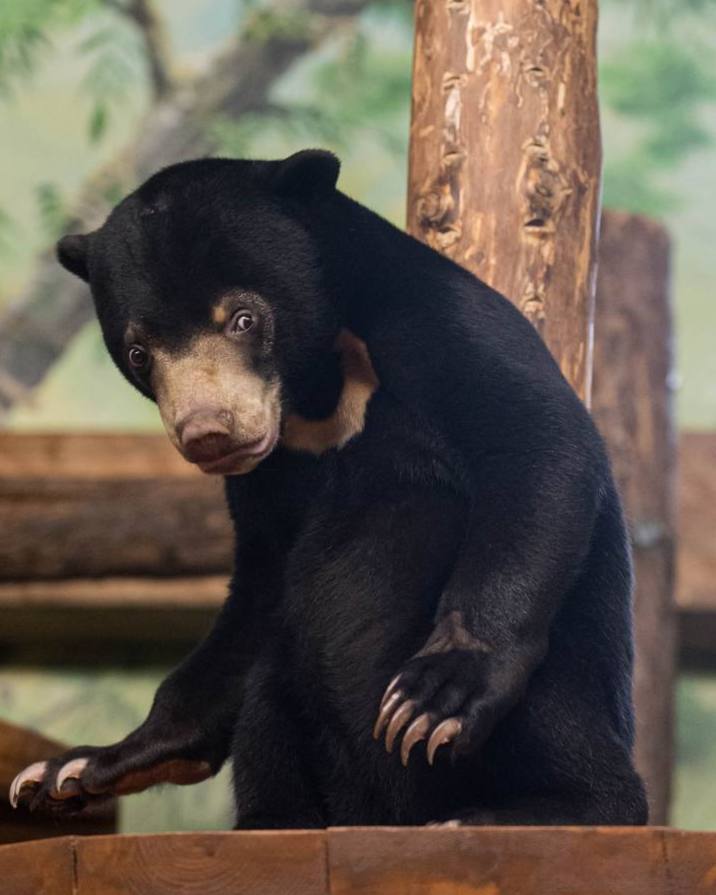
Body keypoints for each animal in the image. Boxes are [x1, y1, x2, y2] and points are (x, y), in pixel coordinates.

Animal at [9, 150, 648, 828]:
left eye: (243, 318)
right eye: (139, 352)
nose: (208, 433)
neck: (319, 389)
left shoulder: (437, 321)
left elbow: (538, 442)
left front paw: (436, 695)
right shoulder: (268, 474)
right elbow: (260, 582)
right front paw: (74, 769)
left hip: (564, 687)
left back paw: (523, 808)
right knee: (270, 688)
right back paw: (271, 821)